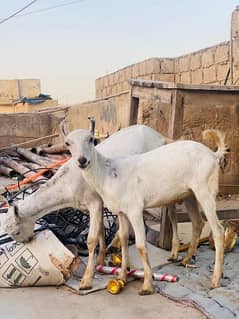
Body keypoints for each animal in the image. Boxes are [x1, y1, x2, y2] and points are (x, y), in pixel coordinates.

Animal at [2, 124, 174, 290]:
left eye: (17, 232)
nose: (27, 240)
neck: (66, 185)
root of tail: (159, 136)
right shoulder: (93, 203)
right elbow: (100, 231)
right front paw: (101, 260)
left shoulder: (94, 201)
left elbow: (91, 240)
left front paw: (87, 279)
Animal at [70, 129, 227, 296]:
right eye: (68, 143)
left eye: (91, 139)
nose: (82, 160)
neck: (108, 173)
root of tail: (214, 155)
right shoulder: (122, 212)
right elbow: (124, 240)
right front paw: (122, 276)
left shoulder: (135, 209)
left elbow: (140, 245)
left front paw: (147, 285)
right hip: (189, 194)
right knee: (198, 223)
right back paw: (186, 260)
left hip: (206, 191)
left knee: (218, 231)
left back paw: (215, 280)